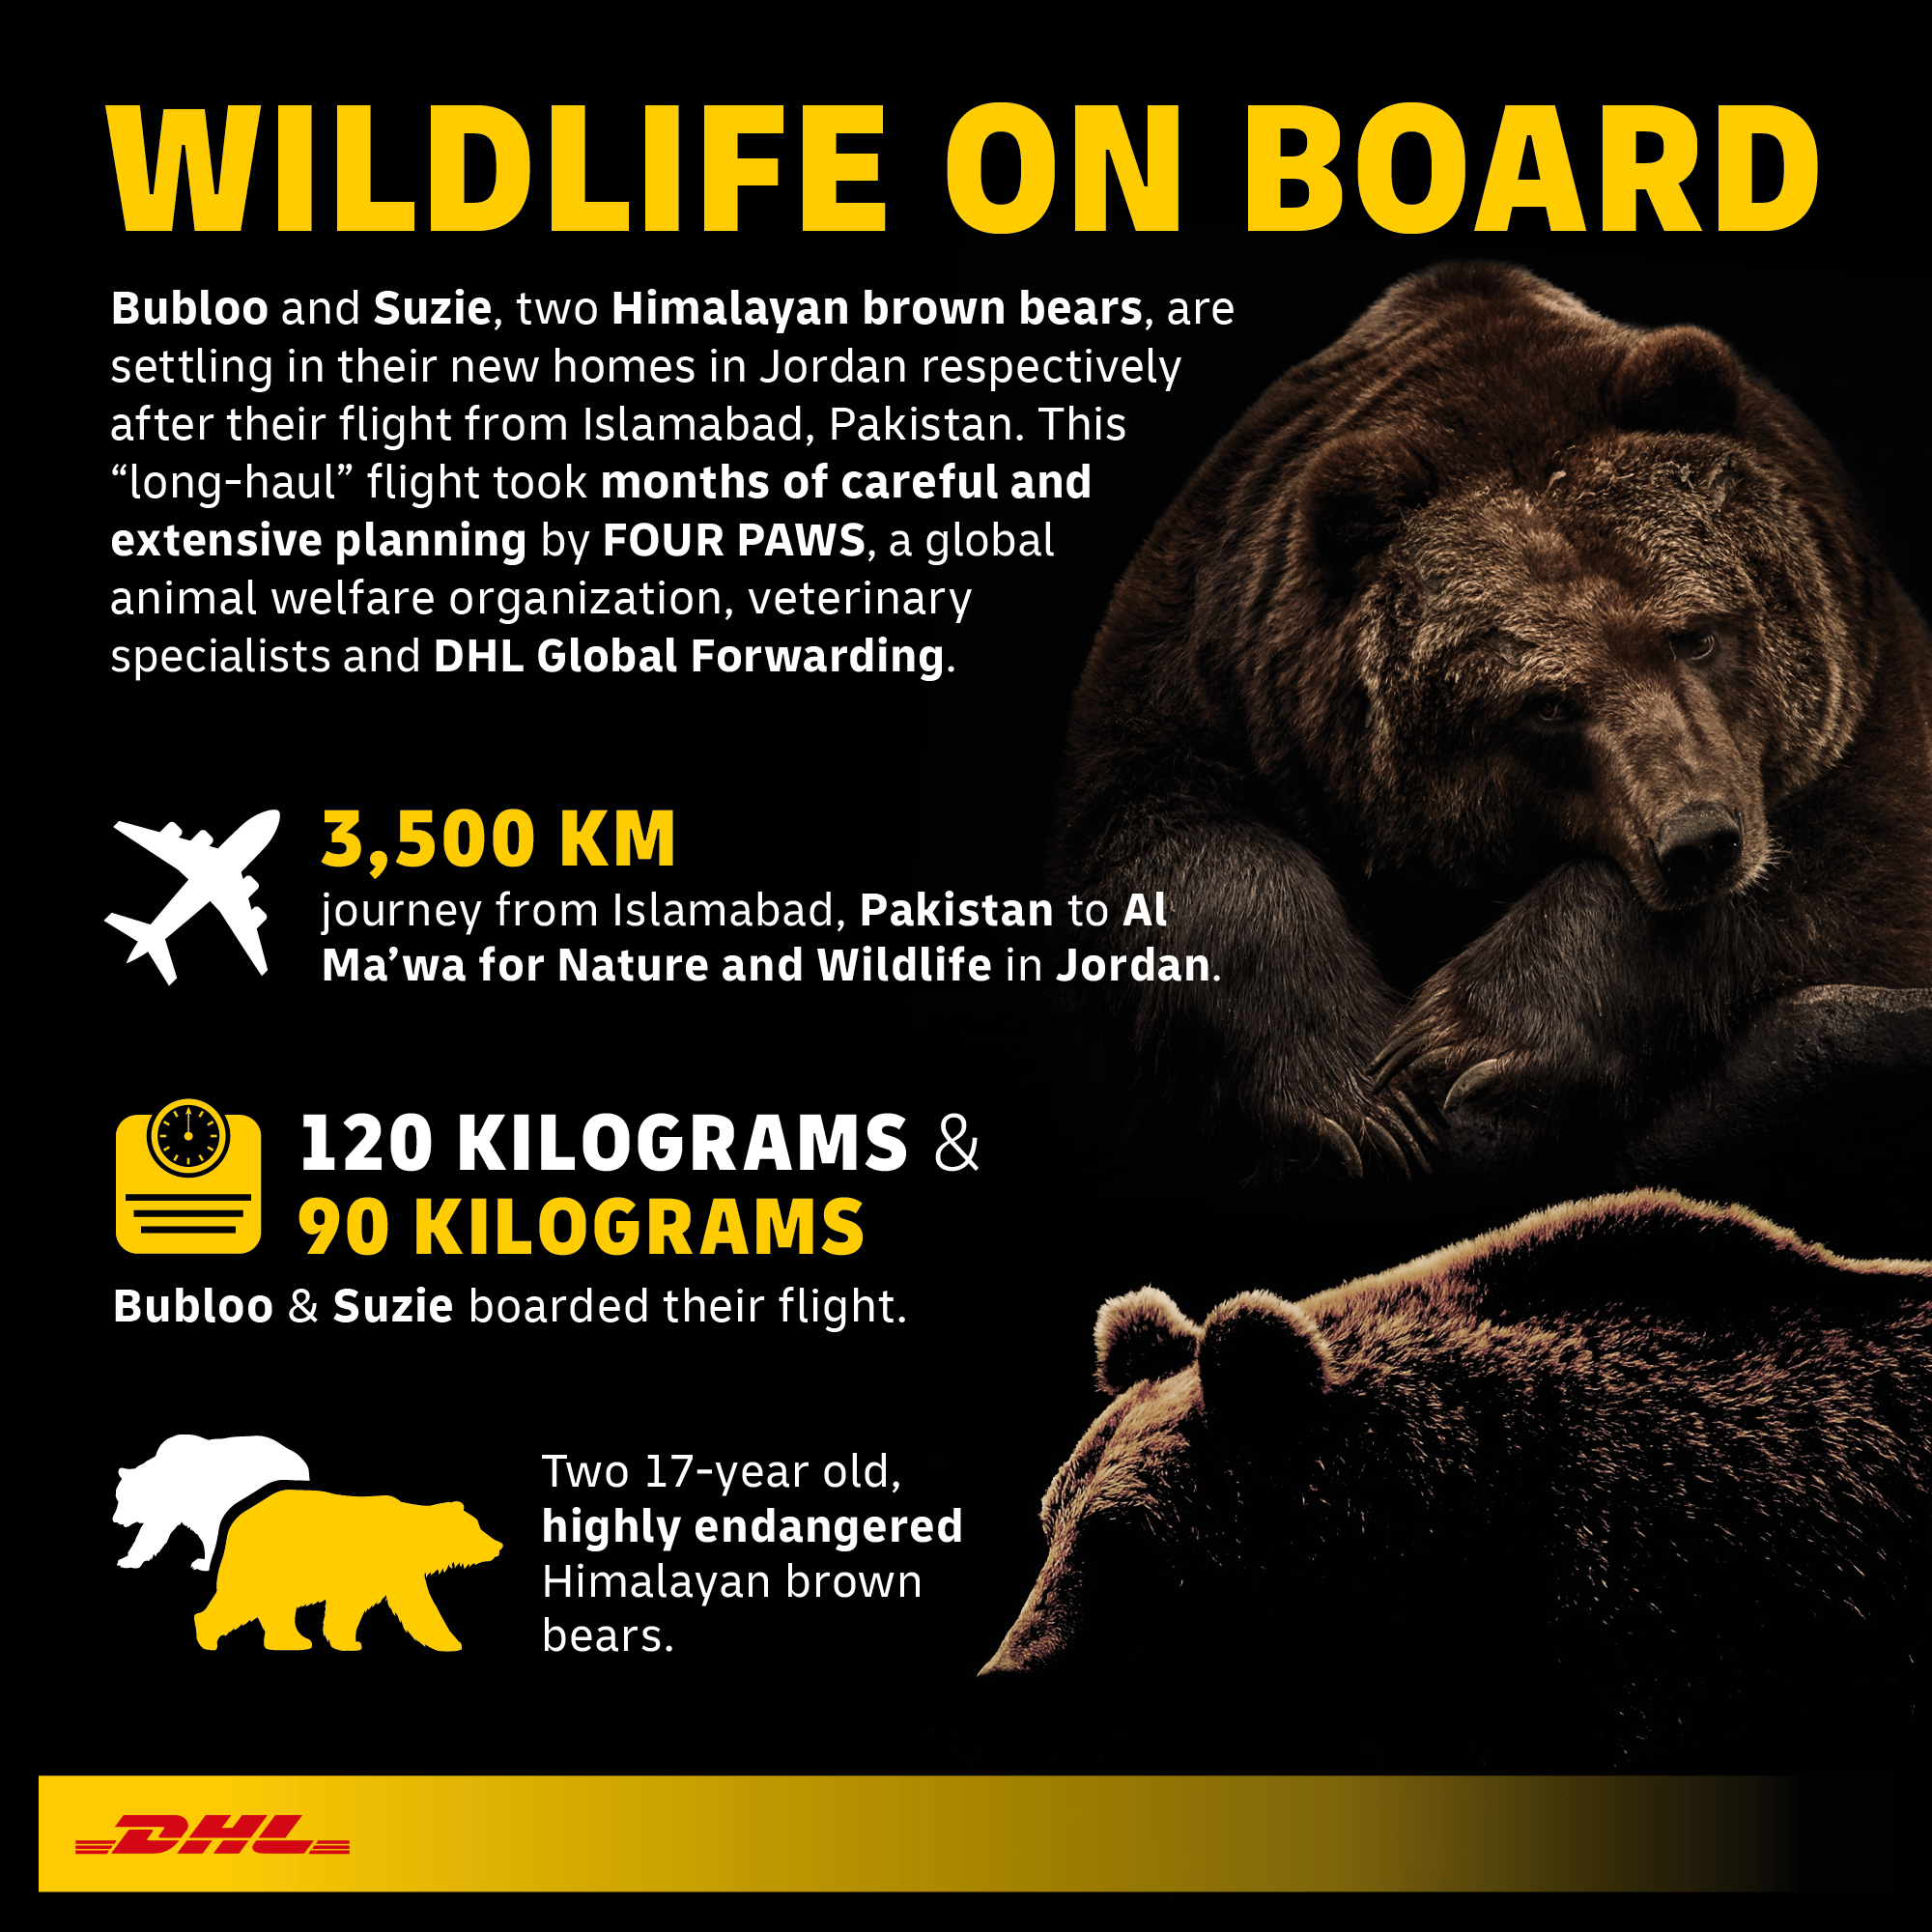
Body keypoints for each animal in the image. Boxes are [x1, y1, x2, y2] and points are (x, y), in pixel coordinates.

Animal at [113, 1433, 310, 1571]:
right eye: (118, 1498)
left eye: (127, 1500)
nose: (116, 1520)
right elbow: (153, 1531)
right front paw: (127, 1560)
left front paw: (204, 1563)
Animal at [192, 1489, 503, 1653]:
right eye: (476, 1528)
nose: (497, 1545)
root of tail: (236, 1519)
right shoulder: (379, 1564)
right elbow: (413, 1604)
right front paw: (451, 1642)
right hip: (266, 1563)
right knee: (241, 1598)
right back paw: (207, 1636)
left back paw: (292, 1640)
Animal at [1051, 262, 1932, 1181]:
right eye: (1547, 703)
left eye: (1696, 633)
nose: (1699, 842)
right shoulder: (1205, 662)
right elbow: (1170, 845)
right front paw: (1362, 1099)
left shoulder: (1863, 687)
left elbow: (1857, 864)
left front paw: (1459, 1036)